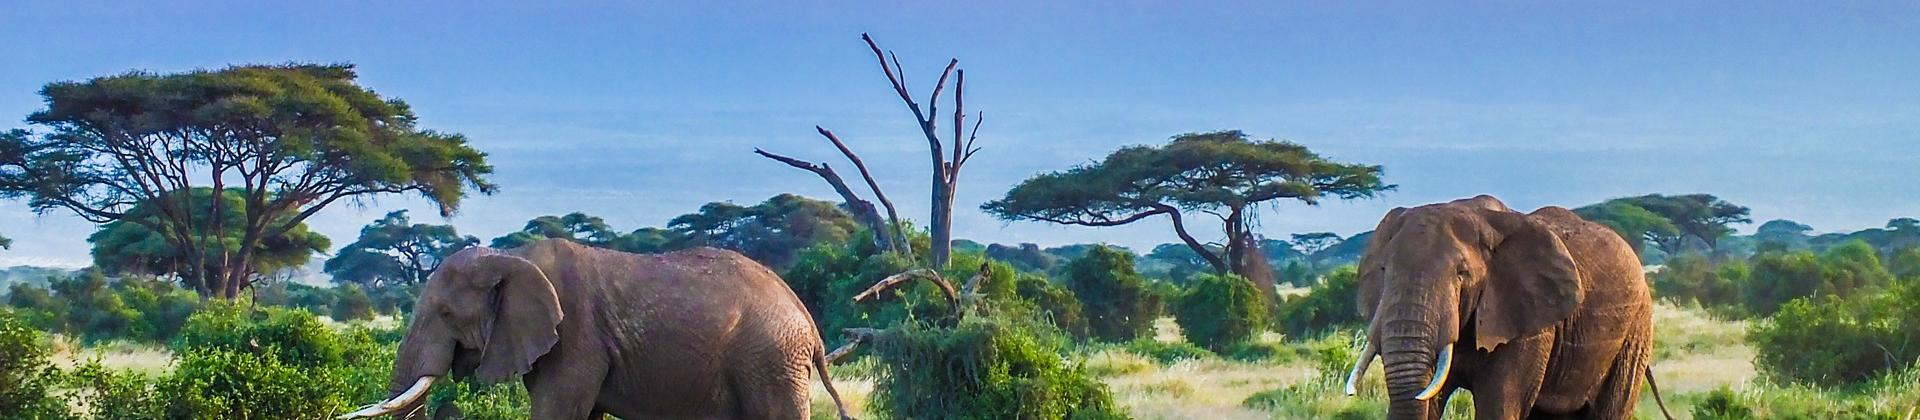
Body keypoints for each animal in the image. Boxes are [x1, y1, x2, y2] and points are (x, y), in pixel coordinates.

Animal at [339, 239, 856, 420]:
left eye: (446, 314)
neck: (511, 256)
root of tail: (807, 319)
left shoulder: (575, 339)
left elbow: (559, 412)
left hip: (769, 359)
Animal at [1344, 196, 1674, 420]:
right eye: (1384, 269)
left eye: (1462, 273)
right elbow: (1430, 399)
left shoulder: (1528, 320)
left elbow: (1499, 406)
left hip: (1635, 331)